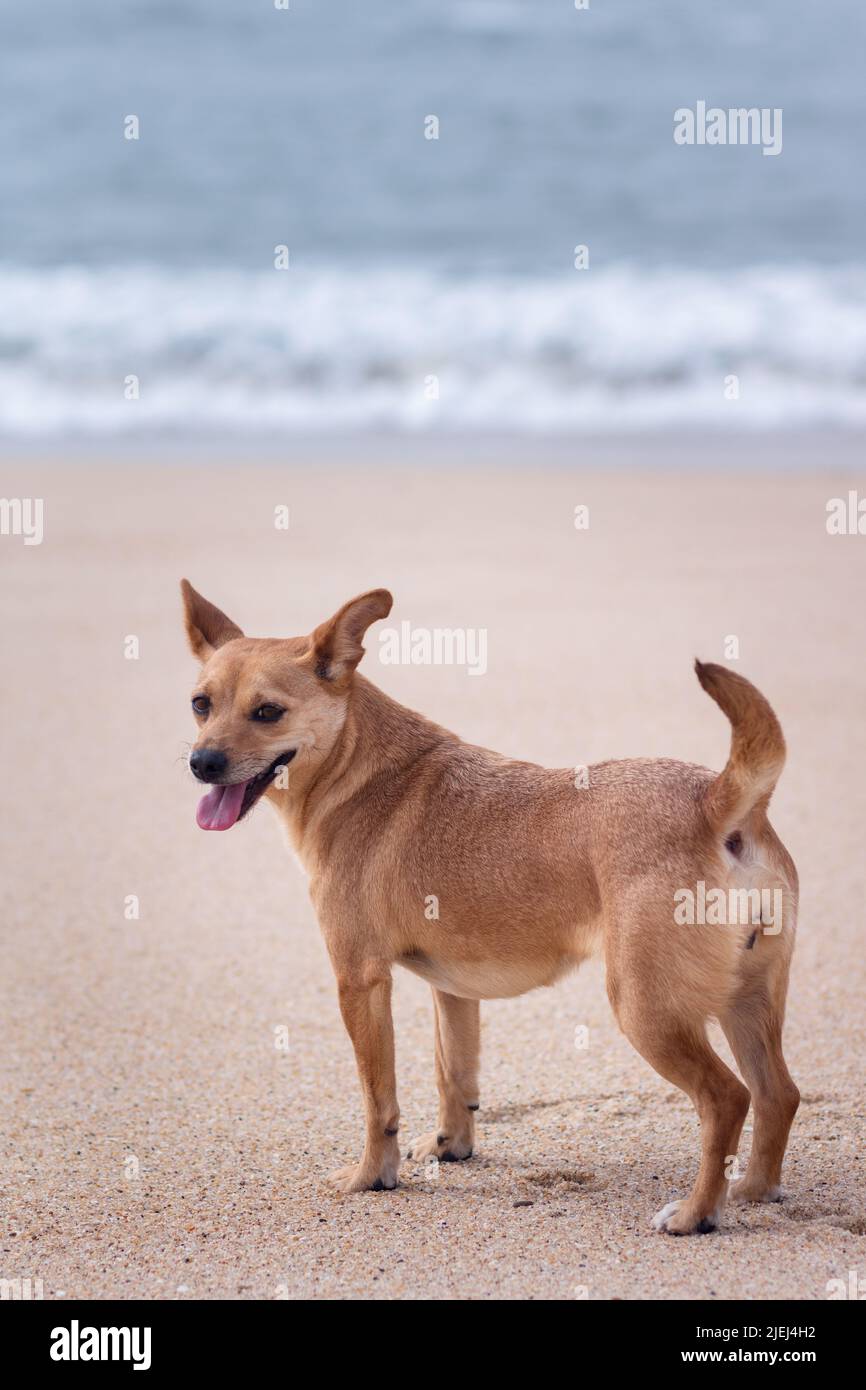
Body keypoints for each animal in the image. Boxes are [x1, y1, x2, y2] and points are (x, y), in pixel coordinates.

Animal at [180, 581, 800, 1234]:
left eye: (267, 712)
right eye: (201, 704)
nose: (201, 763)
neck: (355, 768)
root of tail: (716, 803)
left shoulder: (359, 981)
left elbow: (379, 1099)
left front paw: (372, 1176)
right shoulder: (451, 988)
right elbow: (453, 1073)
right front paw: (451, 1147)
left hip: (646, 1009)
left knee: (727, 1098)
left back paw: (695, 1214)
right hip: (746, 1000)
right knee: (777, 1093)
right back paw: (752, 1190)